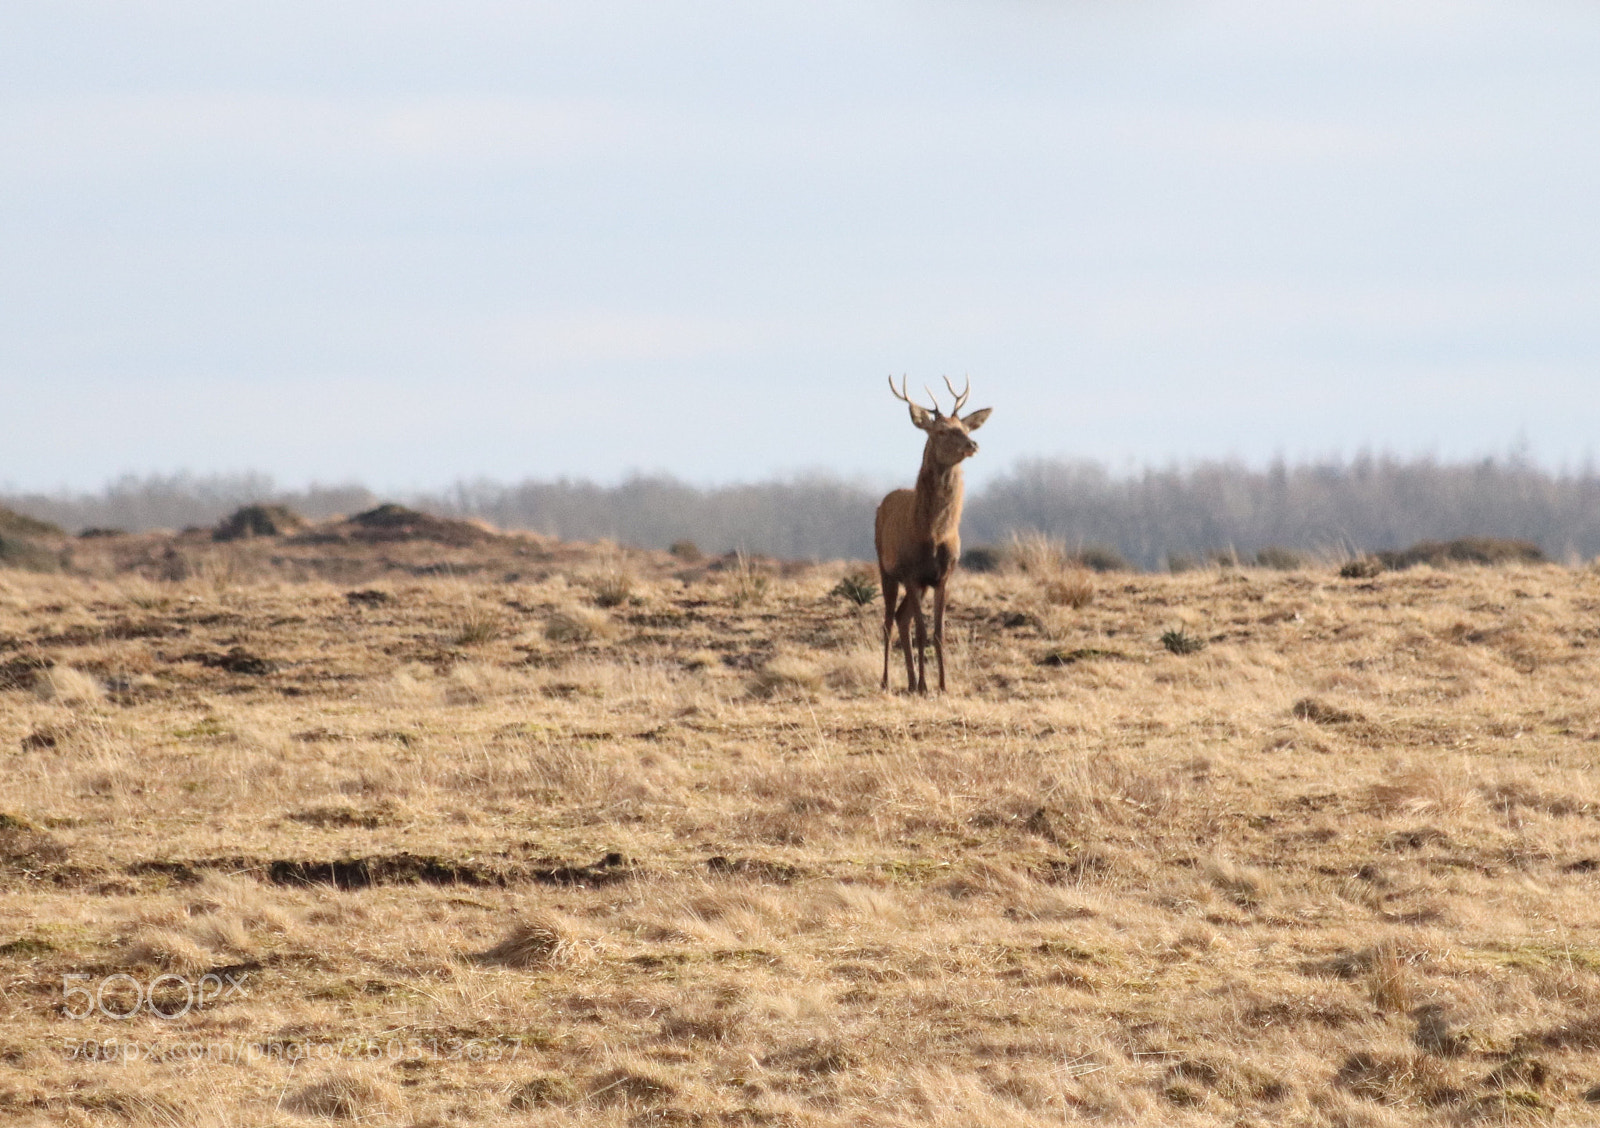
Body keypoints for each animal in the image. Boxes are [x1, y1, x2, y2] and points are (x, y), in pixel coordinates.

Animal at [875, 375, 992, 694]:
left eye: (965, 427)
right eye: (940, 431)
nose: (973, 444)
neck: (932, 535)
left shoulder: (942, 576)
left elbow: (938, 632)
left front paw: (941, 685)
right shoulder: (911, 573)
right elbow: (922, 631)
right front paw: (926, 686)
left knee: (901, 618)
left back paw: (910, 681)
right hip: (885, 569)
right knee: (888, 622)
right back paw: (887, 681)